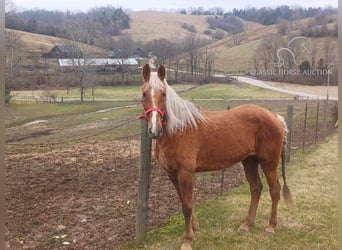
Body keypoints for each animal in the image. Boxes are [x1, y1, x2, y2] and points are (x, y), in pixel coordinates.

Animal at [139, 64, 294, 248]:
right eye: (144, 93)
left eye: (164, 94)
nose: (154, 130)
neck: (177, 130)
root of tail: (275, 116)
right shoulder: (172, 174)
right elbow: (183, 202)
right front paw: (194, 228)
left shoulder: (186, 174)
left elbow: (187, 206)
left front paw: (188, 240)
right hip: (249, 161)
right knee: (256, 188)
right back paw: (246, 224)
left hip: (269, 162)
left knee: (274, 190)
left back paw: (270, 227)